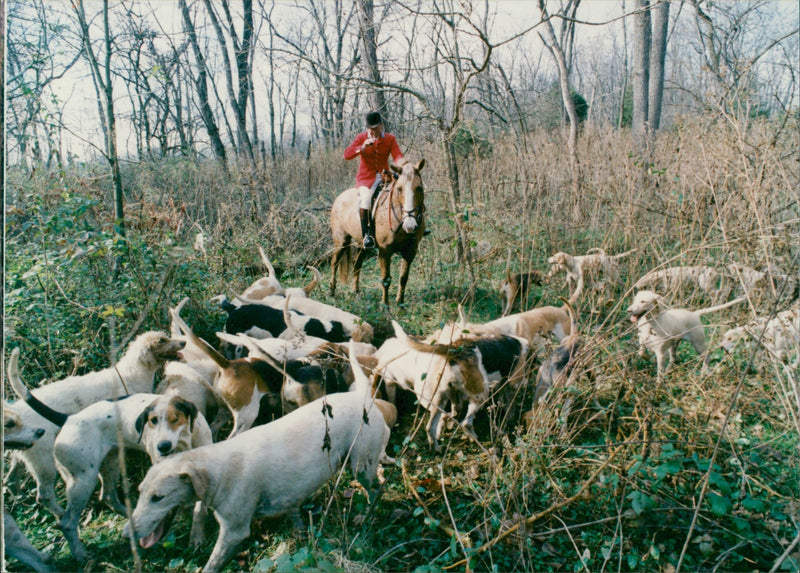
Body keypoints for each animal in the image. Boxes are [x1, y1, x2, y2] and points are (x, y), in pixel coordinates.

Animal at [330, 159, 424, 306]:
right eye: (399, 189)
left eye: (419, 187)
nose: (410, 225)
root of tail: (339, 197)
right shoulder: (385, 251)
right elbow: (386, 279)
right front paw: (384, 305)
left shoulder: (410, 250)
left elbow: (403, 278)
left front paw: (400, 303)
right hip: (341, 241)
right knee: (334, 263)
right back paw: (331, 291)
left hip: (362, 245)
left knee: (357, 265)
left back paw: (356, 292)